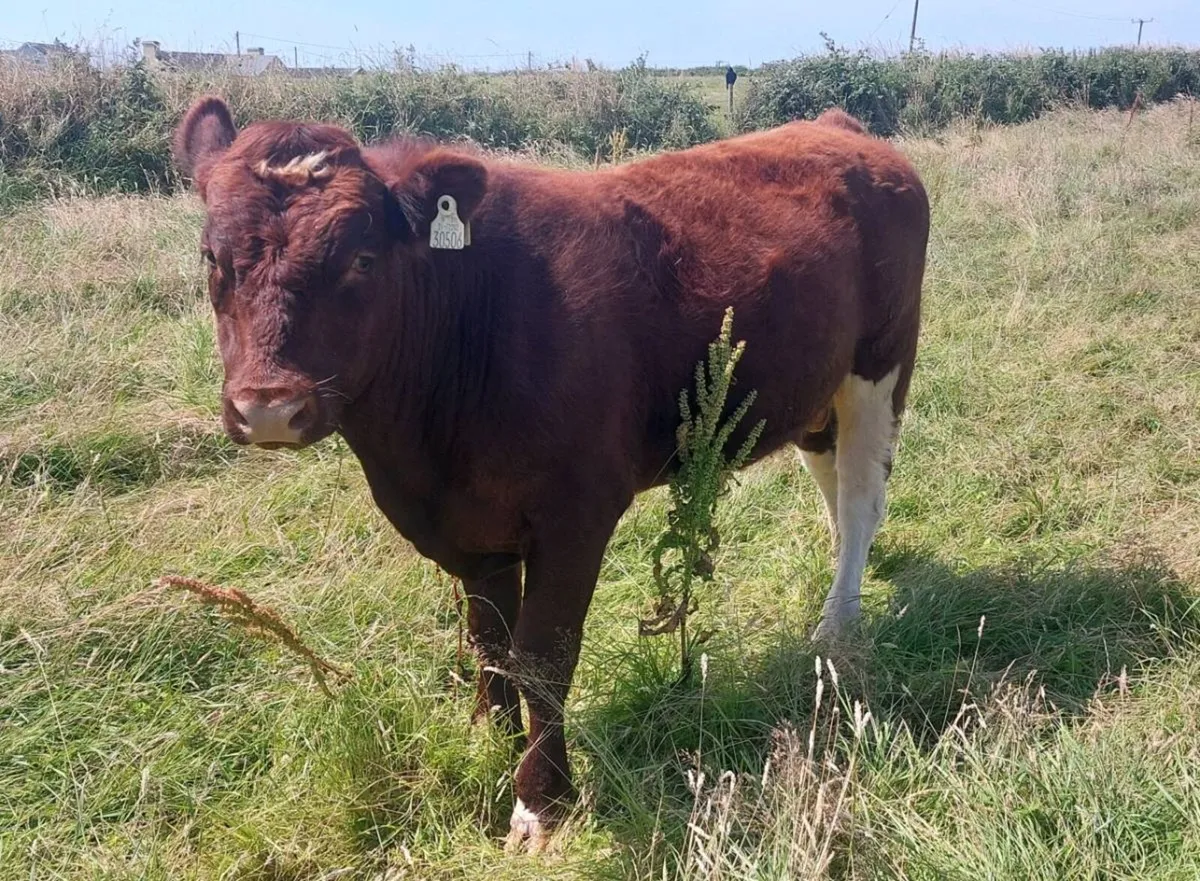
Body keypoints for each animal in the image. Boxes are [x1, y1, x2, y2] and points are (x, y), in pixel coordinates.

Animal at [172, 96, 929, 850]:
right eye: (212, 256)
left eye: (361, 257)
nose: (270, 406)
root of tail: (836, 128)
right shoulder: (473, 529)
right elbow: (491, 646)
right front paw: (491, 744)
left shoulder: (576, 514)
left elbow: (542, 659)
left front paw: (541, 800)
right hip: (814, 389)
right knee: (834, 480)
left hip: (881, 363)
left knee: (861, 494)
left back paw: (838, 623)